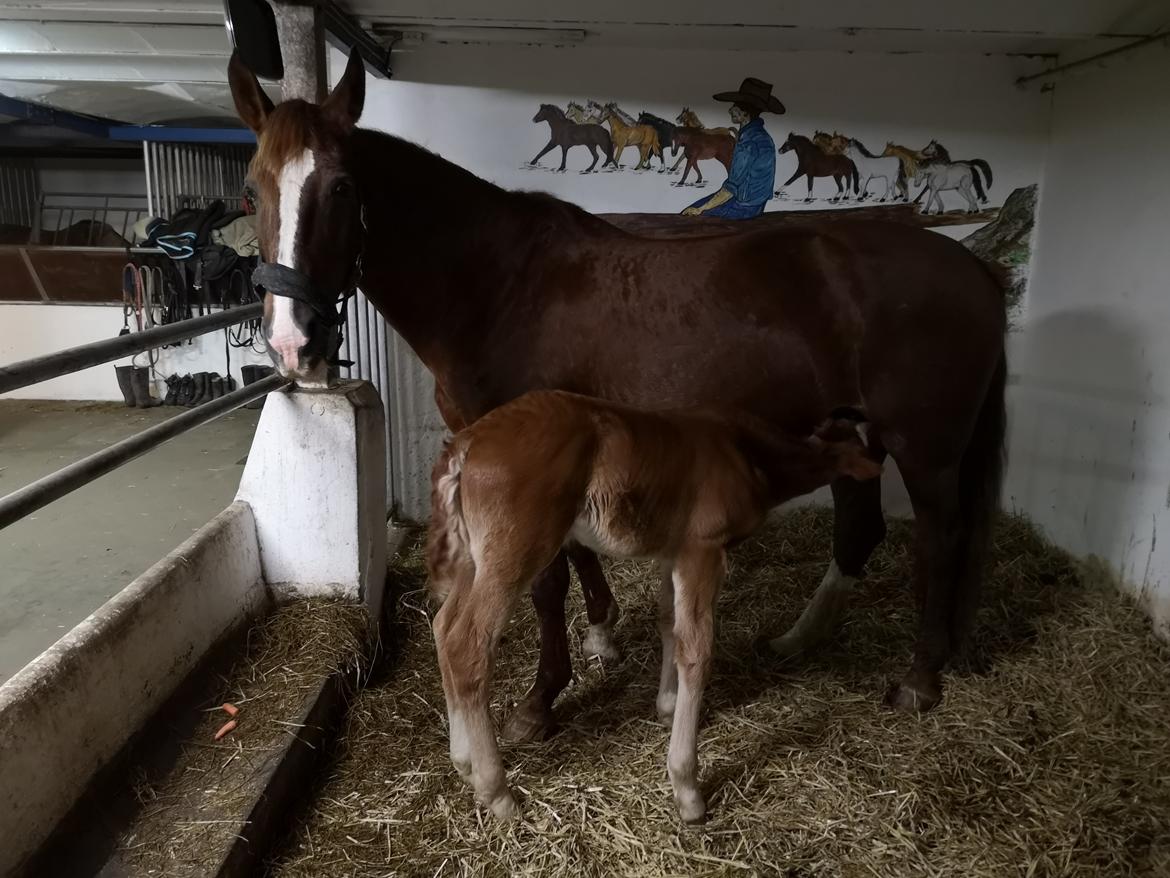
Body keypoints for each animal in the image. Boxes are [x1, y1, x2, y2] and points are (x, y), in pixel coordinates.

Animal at [232, 49, 1010, 744]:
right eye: (251, 189)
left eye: (341, 187)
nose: (293, 341)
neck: (498, 286)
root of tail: (974, 267)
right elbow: (578, 552)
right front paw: (604, 635)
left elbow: (546, 581)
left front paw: (539, 702)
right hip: (853, 434)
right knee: (859, 531)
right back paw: (799, 639)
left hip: (926, 447)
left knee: (940, 538)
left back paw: (919, 678)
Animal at [428, 391, 879, 824]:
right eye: (866, 445)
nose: (875, 473)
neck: (748, 453)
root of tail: (469, 442)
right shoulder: (703, 548)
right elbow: (697, 649)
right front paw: (687, 788)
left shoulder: (673, 552)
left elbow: (670, 624)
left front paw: (666, 705)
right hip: (513, 554)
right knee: (467, 644)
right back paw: (498, 793)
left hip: (474, 558)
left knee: (443, 626)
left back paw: (464, 763)